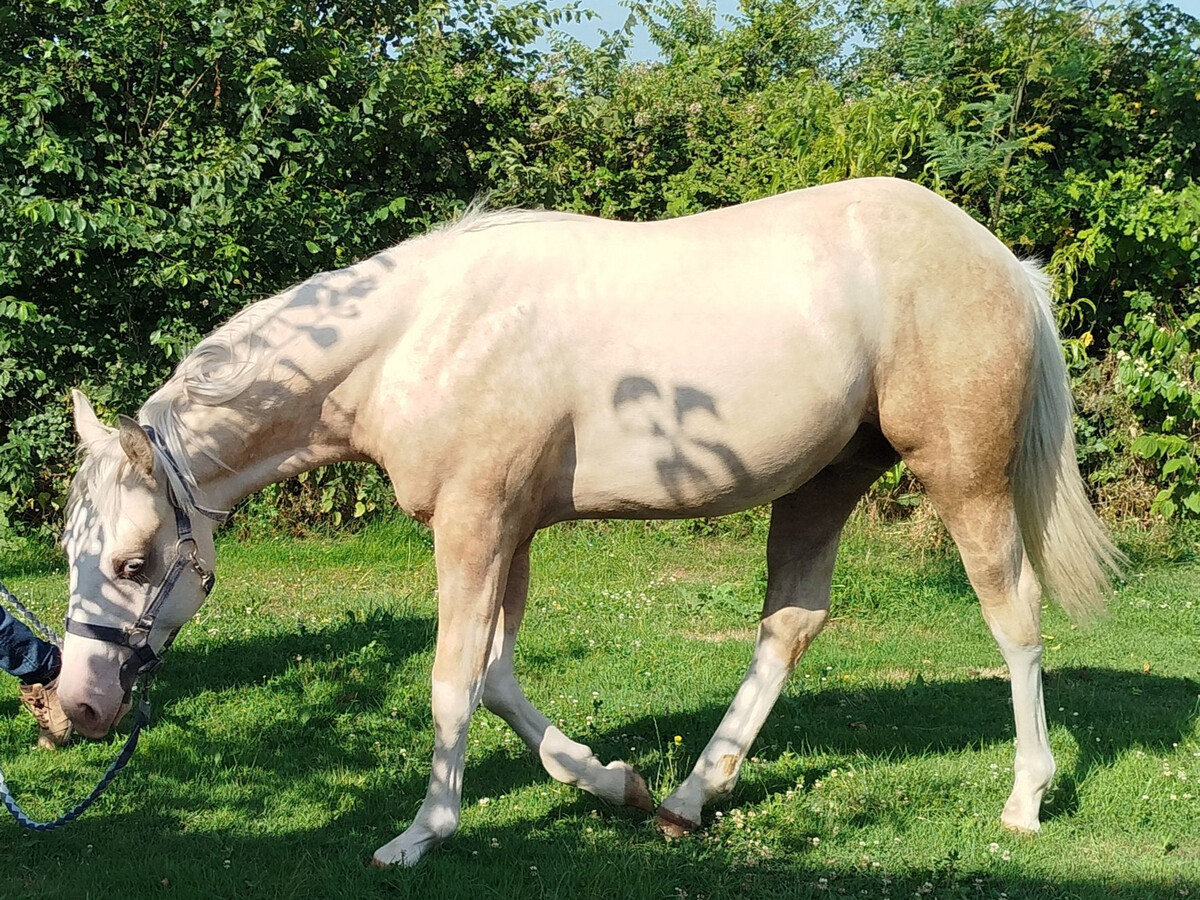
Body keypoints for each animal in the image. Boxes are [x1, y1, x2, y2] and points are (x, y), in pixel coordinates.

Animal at [56, 176, 1122, 866]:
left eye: (137, 562)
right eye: (75, 551)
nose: (77, 706)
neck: (421, 333)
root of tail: (1006, 264)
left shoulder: (474, 525)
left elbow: (452, 683)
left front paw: (420, 835)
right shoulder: (512, 530)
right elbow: (496, 679)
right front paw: (613, 780)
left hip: (964, 478)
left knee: (1014, 617)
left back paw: (1026, 799)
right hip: (825, 481)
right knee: (790, 624)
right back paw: (689, 798)